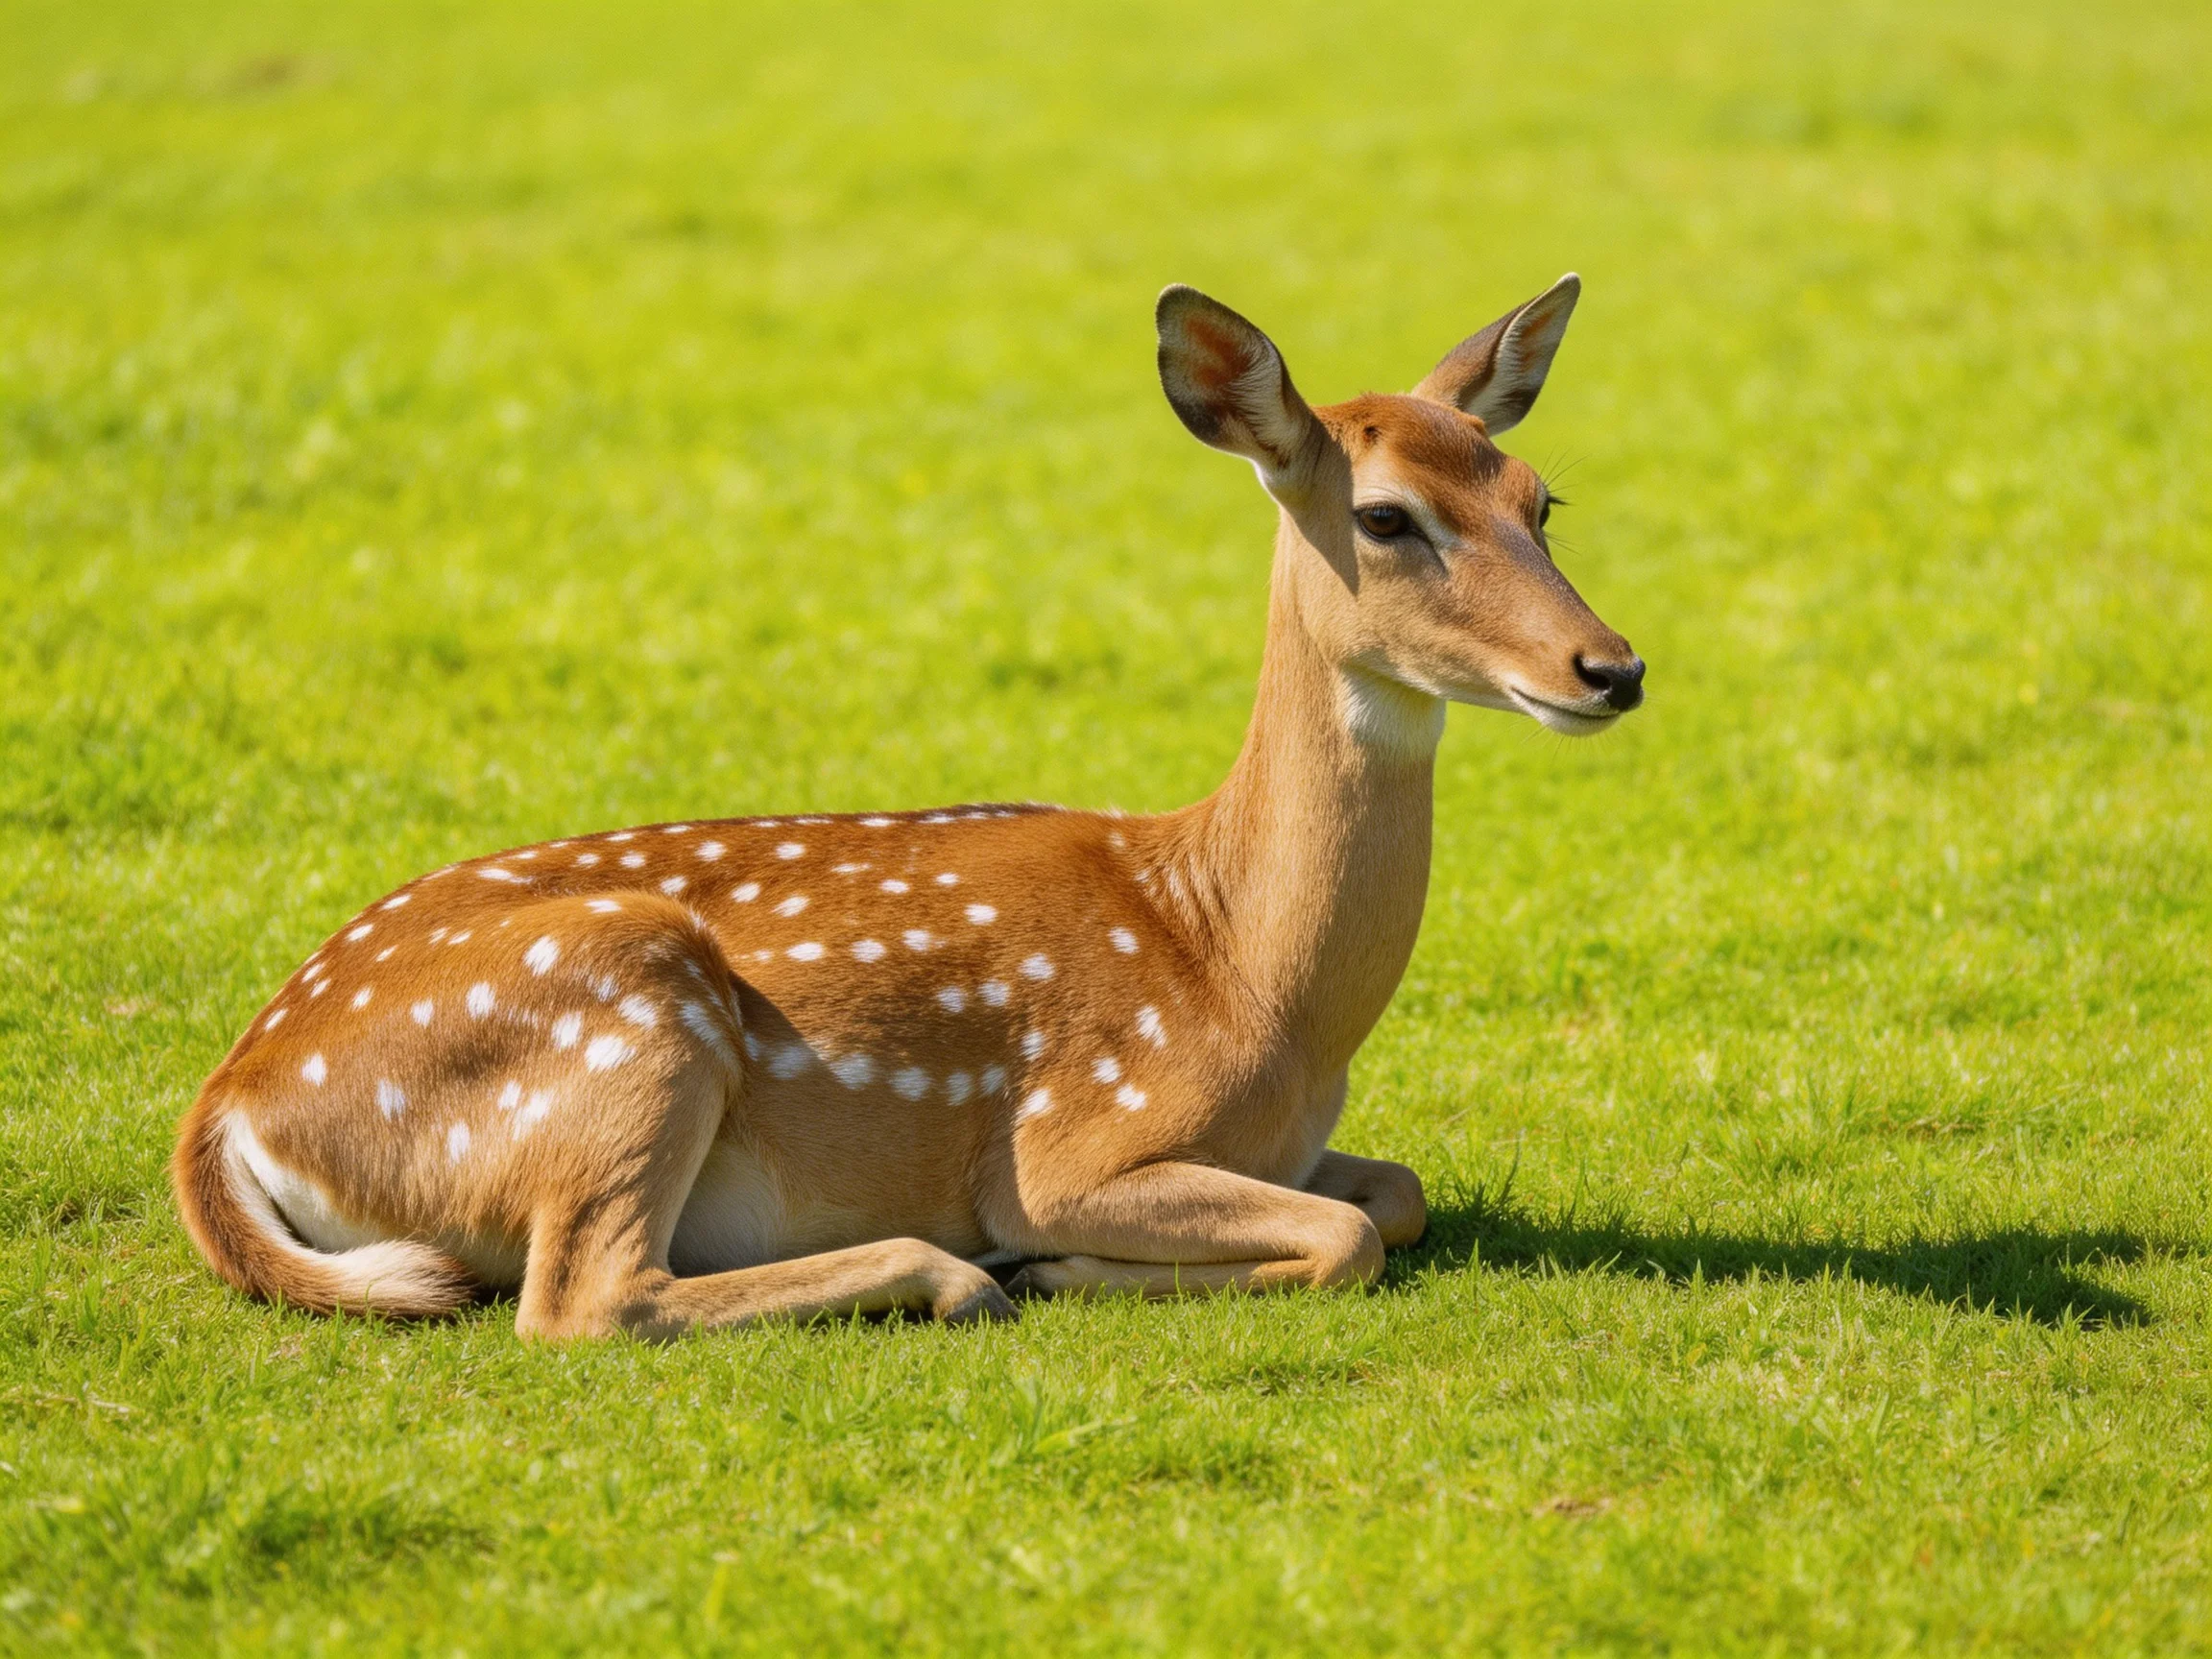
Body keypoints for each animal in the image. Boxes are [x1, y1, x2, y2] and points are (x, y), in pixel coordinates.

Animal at [172, 274, 1644, 1338]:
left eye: (1540, 499)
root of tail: (231, 1105)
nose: (1611, 668)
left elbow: (1394, 1194)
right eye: (1388, 519)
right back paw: (957, 1274)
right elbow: (1344, 1236)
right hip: (624, 1013)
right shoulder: (1074, 1136)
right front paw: (1058, 1267)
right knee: (586, 1297)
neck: (1246, 975)